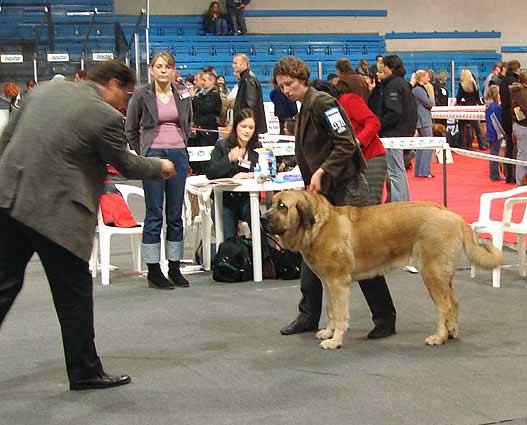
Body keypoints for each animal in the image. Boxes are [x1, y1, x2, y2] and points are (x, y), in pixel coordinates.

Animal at [262, 190, 504, 350]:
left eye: (282, 206)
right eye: (271, 203)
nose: (263, 218)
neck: (317, 226)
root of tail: (455, 216)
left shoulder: (339, 283)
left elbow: (340, 314)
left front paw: (335, 341)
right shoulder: (327, 282)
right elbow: (330, 310)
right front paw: (328, 333)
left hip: (432, 273)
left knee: (444, 306)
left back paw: (439, 337)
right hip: (444, 276)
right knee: (454, 302)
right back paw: (452, 332)